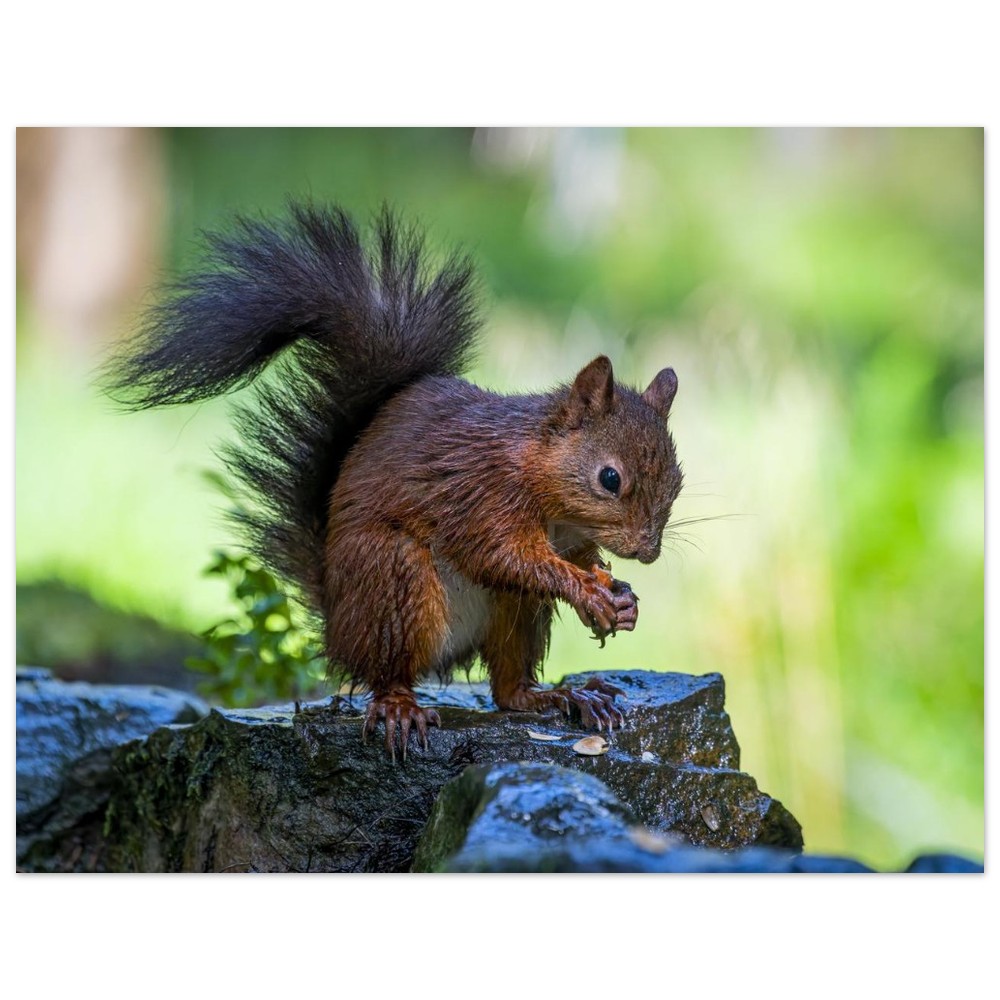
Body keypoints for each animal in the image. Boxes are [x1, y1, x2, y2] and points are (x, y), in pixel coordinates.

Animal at [105, 203, 683, 759]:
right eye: (609, 478)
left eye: (677, 481)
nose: (648, 552)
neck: (544, 483)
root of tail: (337, 624)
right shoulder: (481, 495)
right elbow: (504, 556)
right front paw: (588, 591)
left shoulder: (568, 535)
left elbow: (575, 559)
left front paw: (619, 596)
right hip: (393, 580)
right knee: (388, 672)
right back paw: (400, 707)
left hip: (514, 612)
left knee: (507, 689)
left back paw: (561, 695)